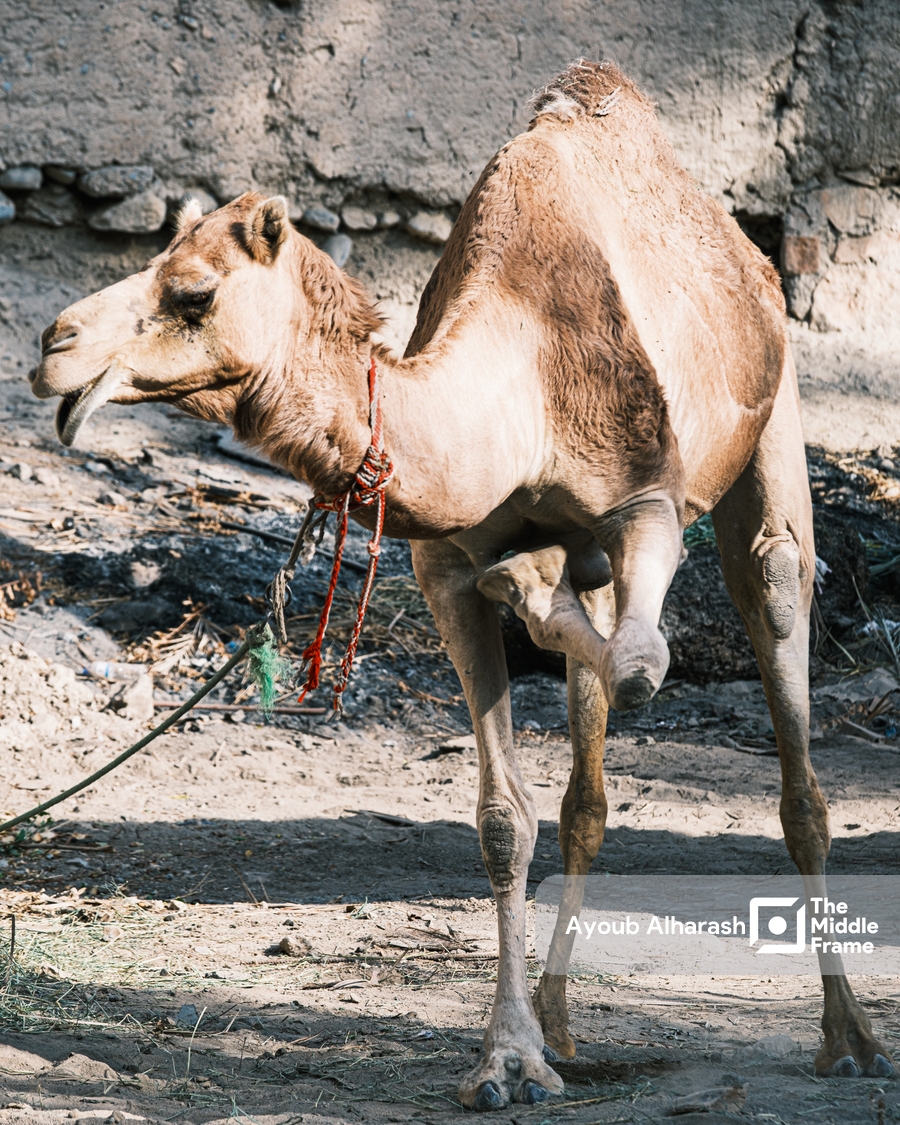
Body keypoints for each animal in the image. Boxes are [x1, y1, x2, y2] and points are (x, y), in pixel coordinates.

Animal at [31, 60, 894, 1109]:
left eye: (193, 291)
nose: (54, 344)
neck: (520, 384)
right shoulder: (443, 568)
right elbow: (502, 818)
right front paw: (508, 1059)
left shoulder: (646, 496)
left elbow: (643, 660)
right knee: (586, 789)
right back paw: (561, 1024)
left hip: (773, 419)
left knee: (776, 638)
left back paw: (850, 1039)